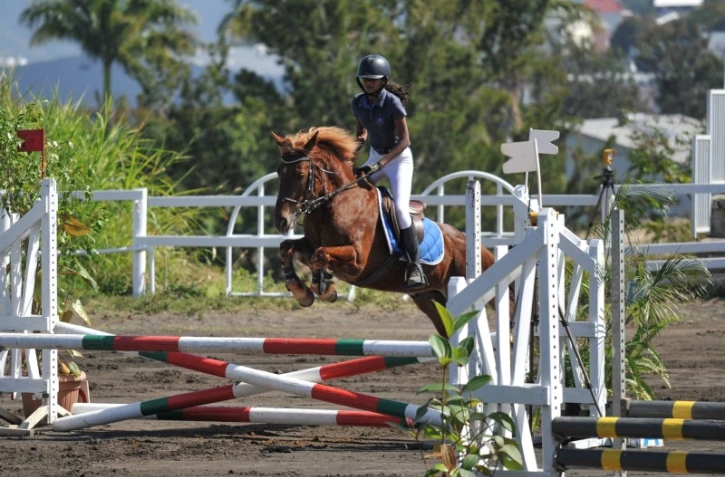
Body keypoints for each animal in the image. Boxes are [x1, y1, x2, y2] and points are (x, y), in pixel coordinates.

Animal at [271, 126, 509, 337]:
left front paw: (324, 288)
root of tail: (470, 244)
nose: (281, 221)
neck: (335, 202)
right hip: (429, 299)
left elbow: (319, 255)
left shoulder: (357, 262)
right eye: (279, 172)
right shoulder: (310, 244)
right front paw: (301, 290)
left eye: (300, 174)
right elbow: (288, 249)